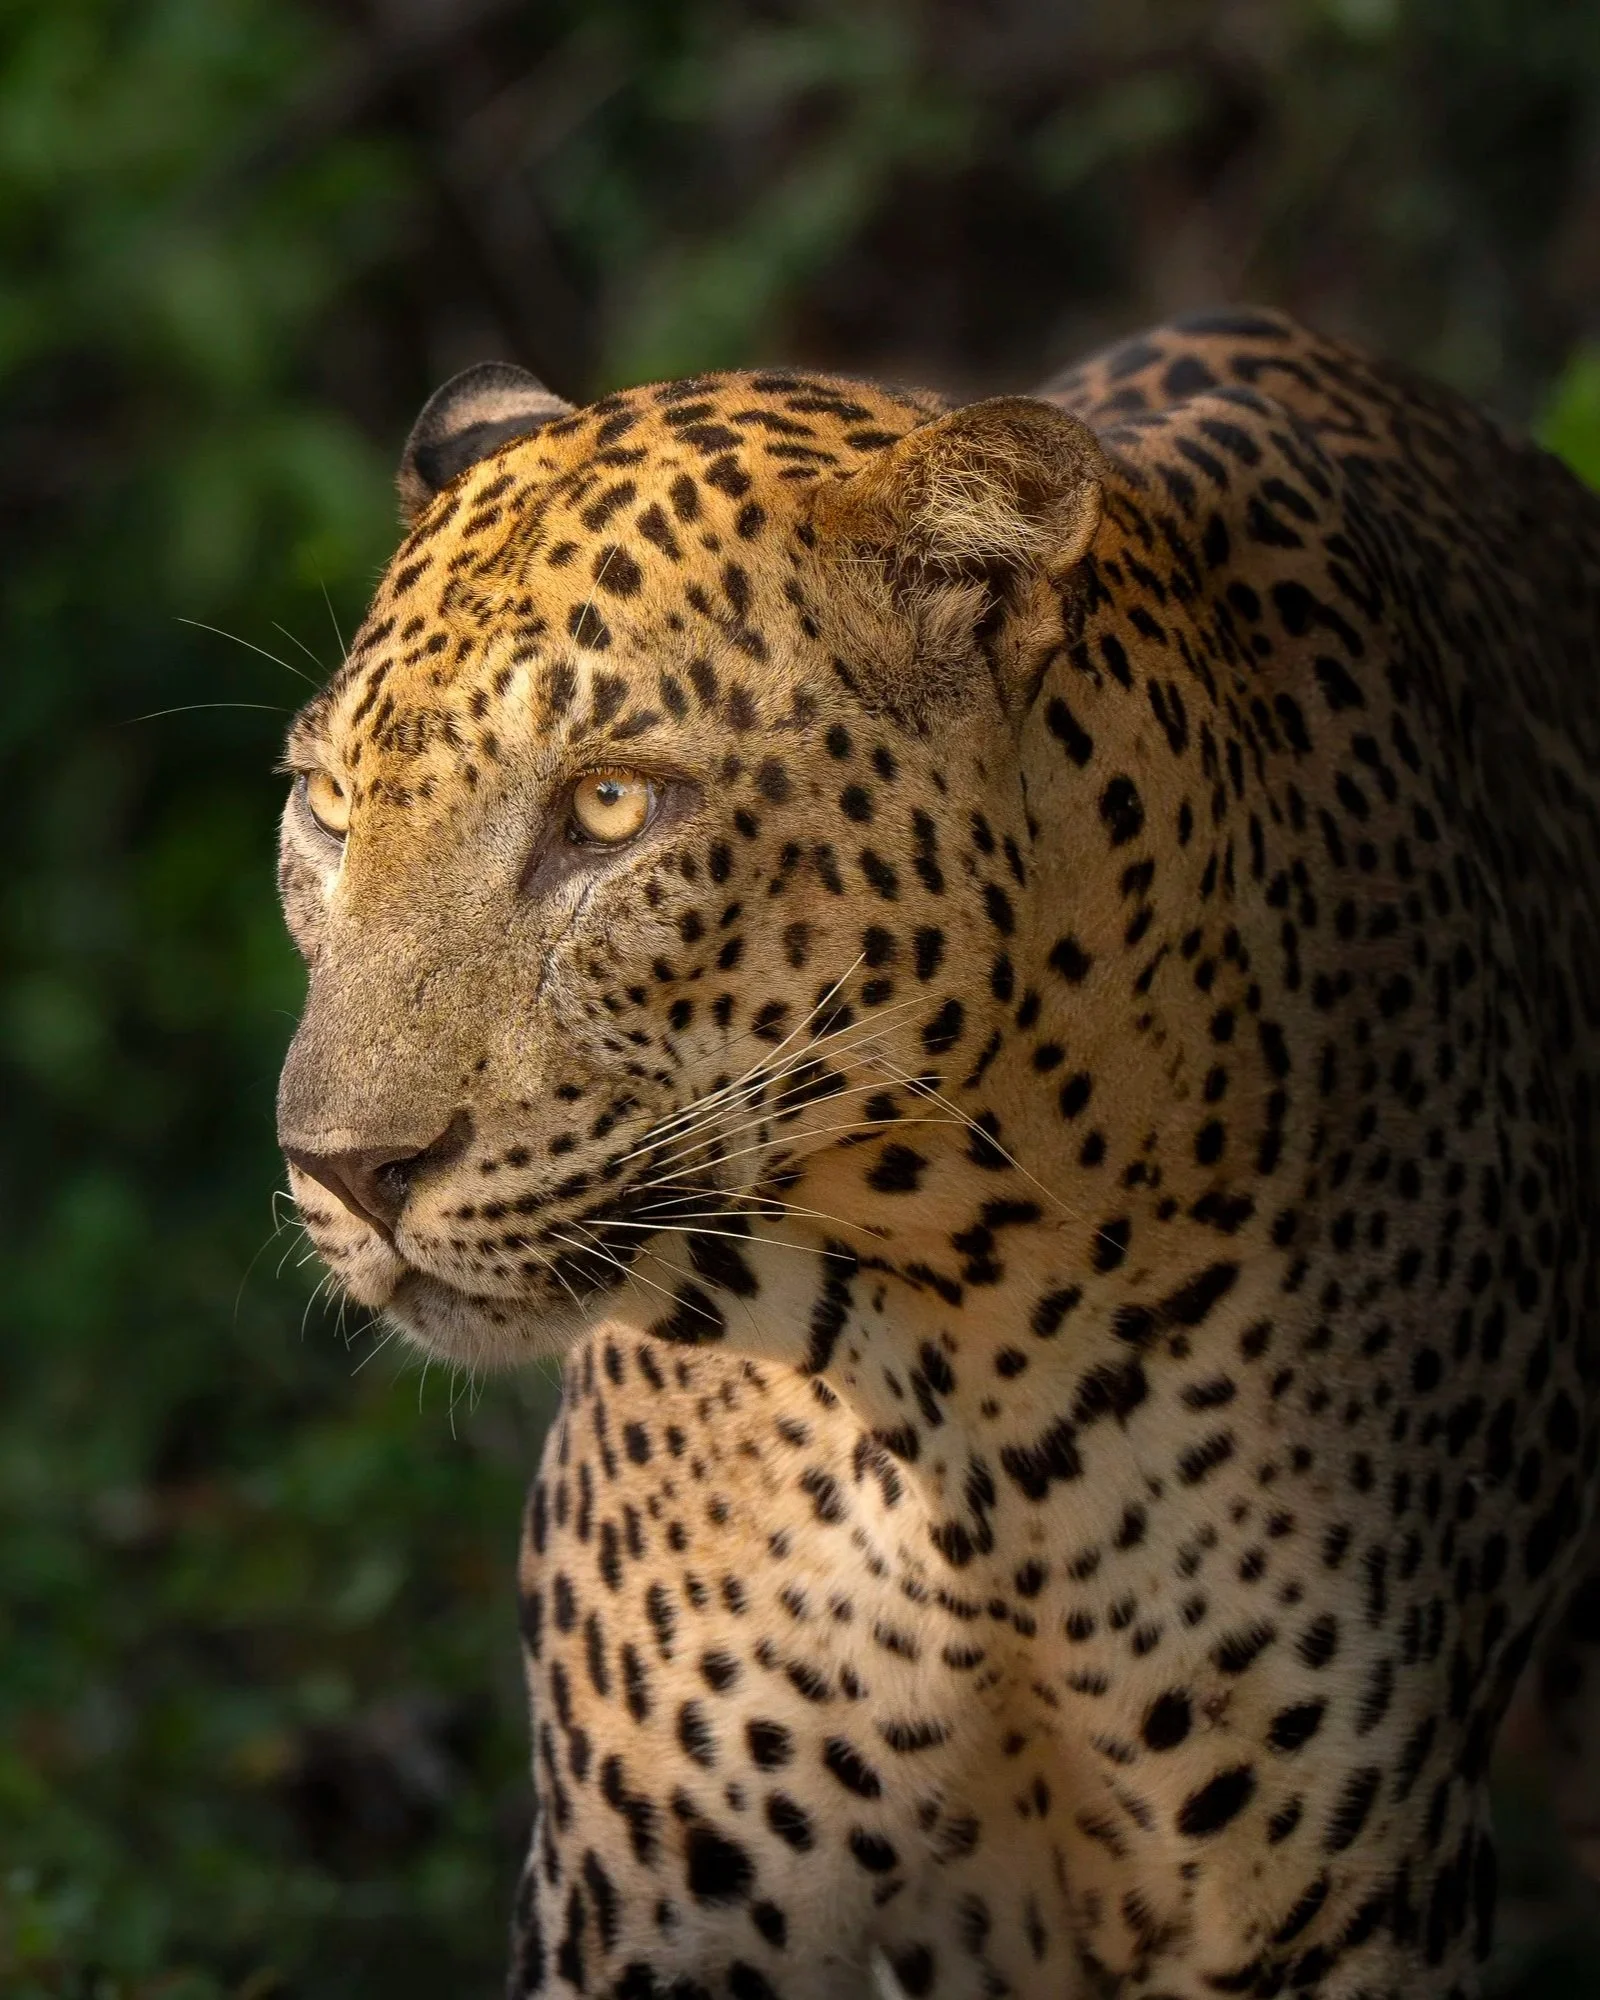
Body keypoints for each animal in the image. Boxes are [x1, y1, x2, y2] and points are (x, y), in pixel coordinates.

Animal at [274, 308, 1600, 1999]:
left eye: (613, 806)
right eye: (326, 807)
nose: (343, 1168)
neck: (955, 1360)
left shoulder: (1334, 1893)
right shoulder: (654, 1897)